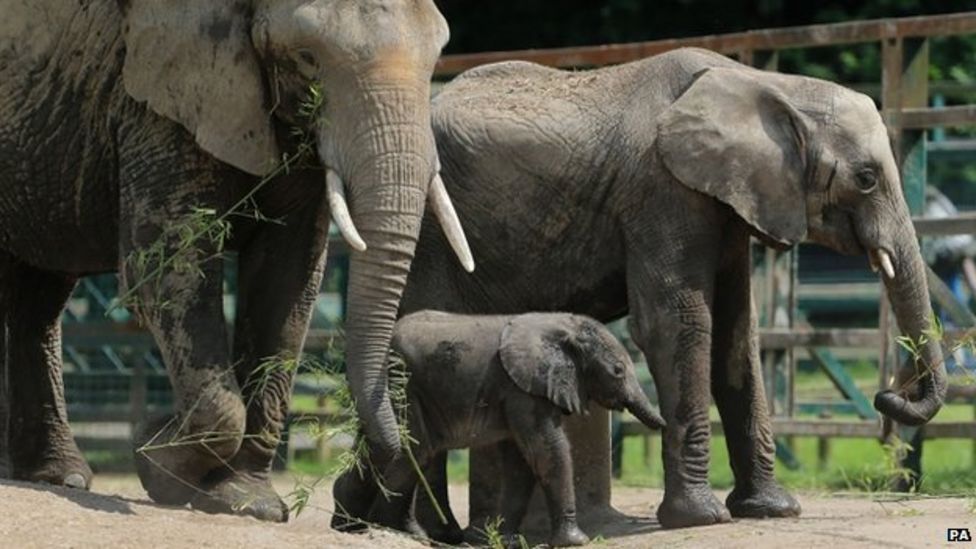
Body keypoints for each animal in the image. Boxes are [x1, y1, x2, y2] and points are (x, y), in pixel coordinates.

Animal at [0, 0, 472, 520]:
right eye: (307, 57)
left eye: (436, 58)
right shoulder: (158, 99)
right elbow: (168, 267)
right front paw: (156, 456)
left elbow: (286, 284)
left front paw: (247, 502)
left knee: (38, 296)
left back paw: (58, 475)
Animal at [334, 310, 664, 544]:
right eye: (618, 371)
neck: (564, 326)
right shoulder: (524, 390)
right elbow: (546, 451)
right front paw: (577, 542)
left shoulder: (517, 392)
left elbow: (520, 462)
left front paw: (508, 541)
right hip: (403, 386)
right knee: (414, 449)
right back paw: (395, 532)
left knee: (392, 449)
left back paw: (354, 526)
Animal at [400, 49, 940, 528]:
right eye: (866, 179)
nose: (887, 397)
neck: (769, 84)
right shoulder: (661, 190)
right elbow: (677, 324)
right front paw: (701, 518)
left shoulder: (729, 199)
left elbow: (736, 333)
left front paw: (773, 510)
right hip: (430, 233)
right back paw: (438, 531)